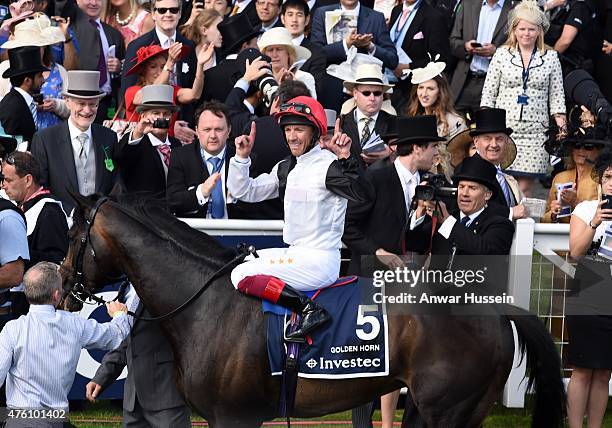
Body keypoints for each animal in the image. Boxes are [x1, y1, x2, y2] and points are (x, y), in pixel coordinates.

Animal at [61, 195, 564, 428]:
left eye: (73, 236)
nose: (65, 287)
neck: (204, 301)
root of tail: (496, 308)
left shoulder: (232, 416)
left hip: (448, 410)